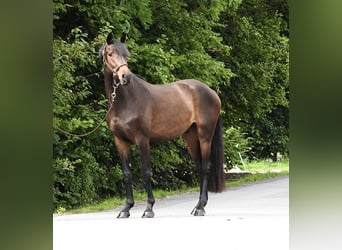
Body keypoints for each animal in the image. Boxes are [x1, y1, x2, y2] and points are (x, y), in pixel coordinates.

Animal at [100, 32, 226, 217]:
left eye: (127, 54)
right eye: (110, 54)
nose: (126, 77)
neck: (125, 101)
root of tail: (212, 92)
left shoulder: (142, 140)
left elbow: (146, 172)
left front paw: (149, 208)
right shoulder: (120, 141)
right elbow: (127, 173)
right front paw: (126, 208)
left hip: (205, 135)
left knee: (205, 167)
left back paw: (201, 208)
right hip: (190, 137)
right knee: (199, 167)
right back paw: (198, 205)